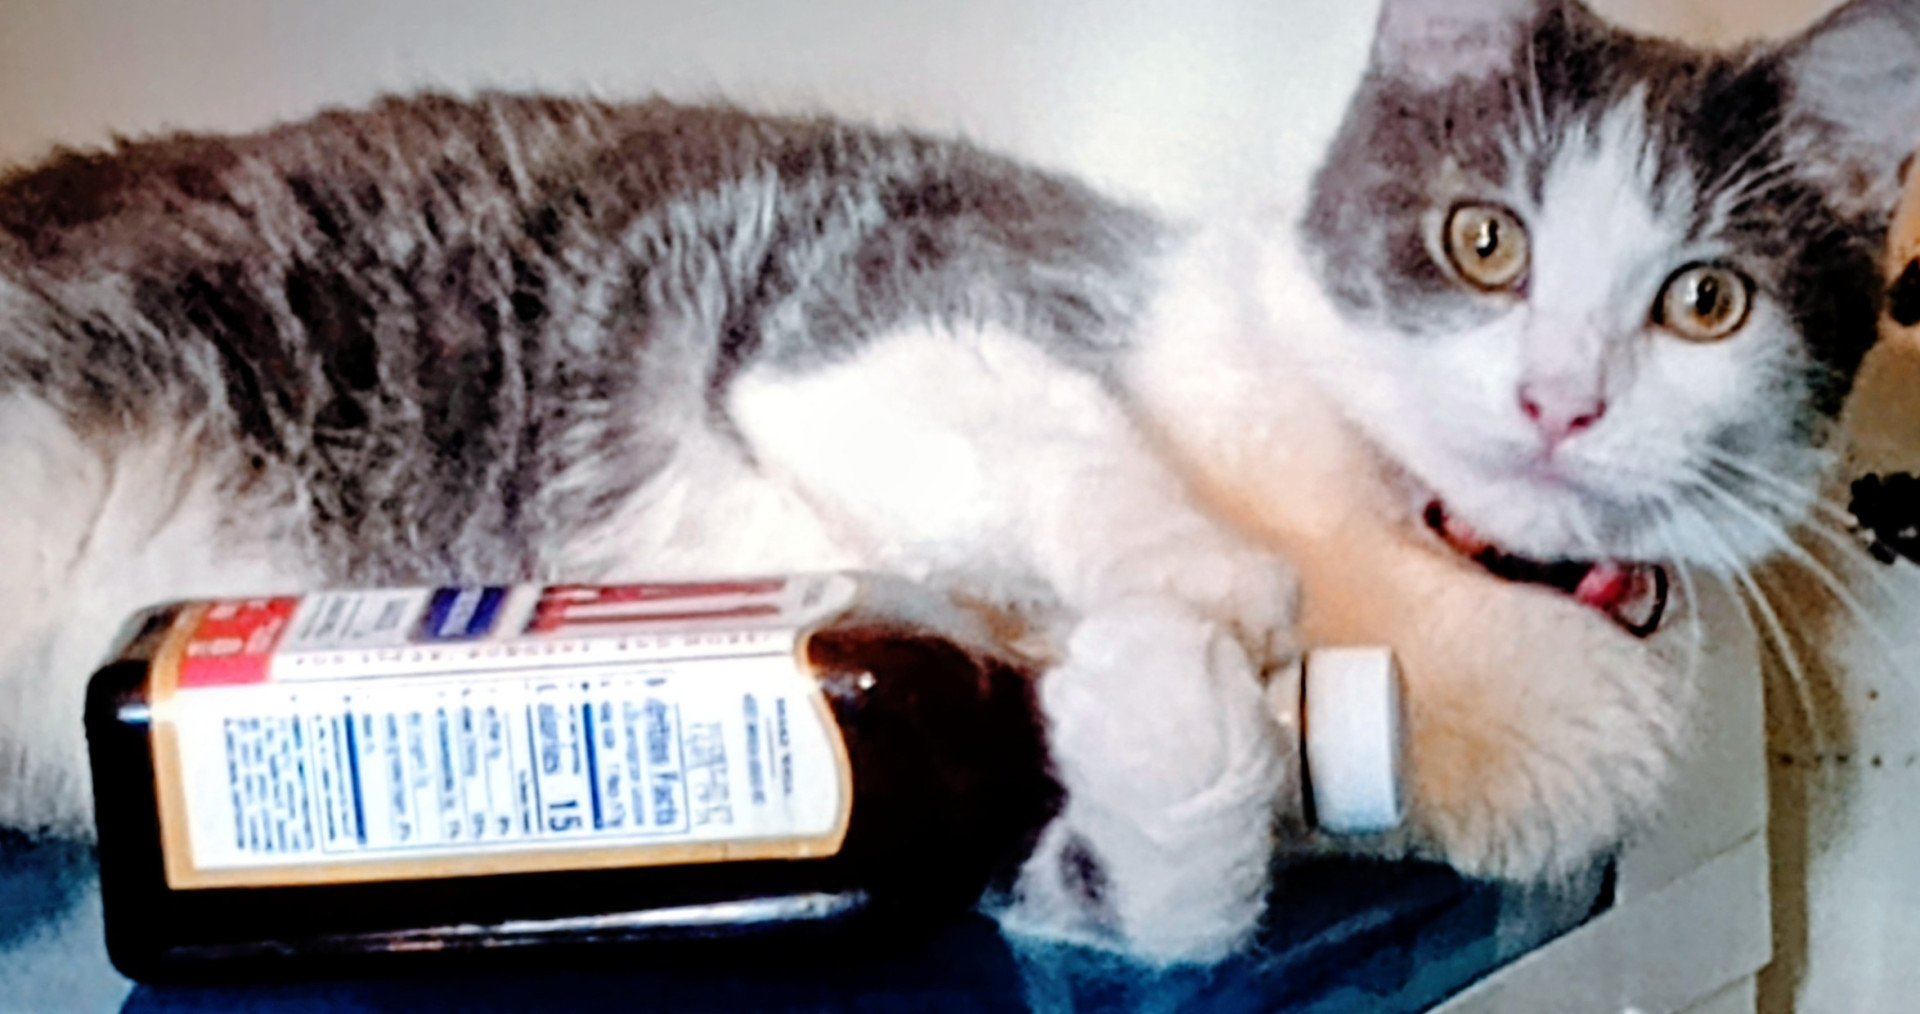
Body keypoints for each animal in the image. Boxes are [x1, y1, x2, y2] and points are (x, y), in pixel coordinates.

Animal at [1, 0, 1916, 965]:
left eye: (1705, 299)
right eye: (1484, 240)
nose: (1559, 399)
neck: (1417, 550)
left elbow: (1166, 886)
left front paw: (1149, 707)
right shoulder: (871, 294)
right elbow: (1058, 440)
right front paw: (1214, 597)